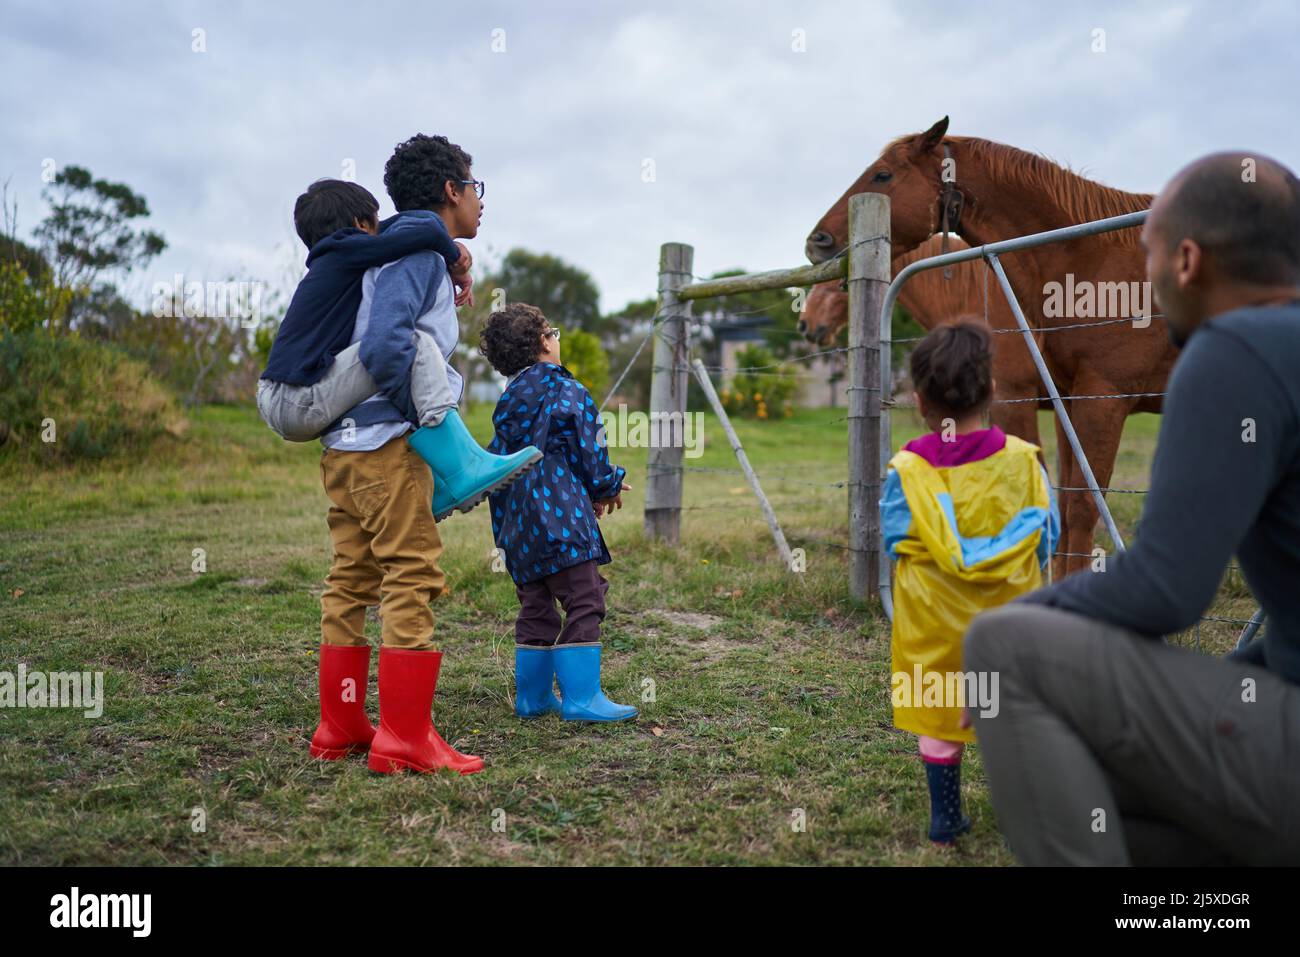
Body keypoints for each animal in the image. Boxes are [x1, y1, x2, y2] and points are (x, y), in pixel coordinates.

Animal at [806, 115, 1175, 572]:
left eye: (883, 175)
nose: (816, 242)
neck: (1089, 259)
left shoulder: (1088, 400)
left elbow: (1077, 508)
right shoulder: (1068, 403)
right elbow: (1062, 502)